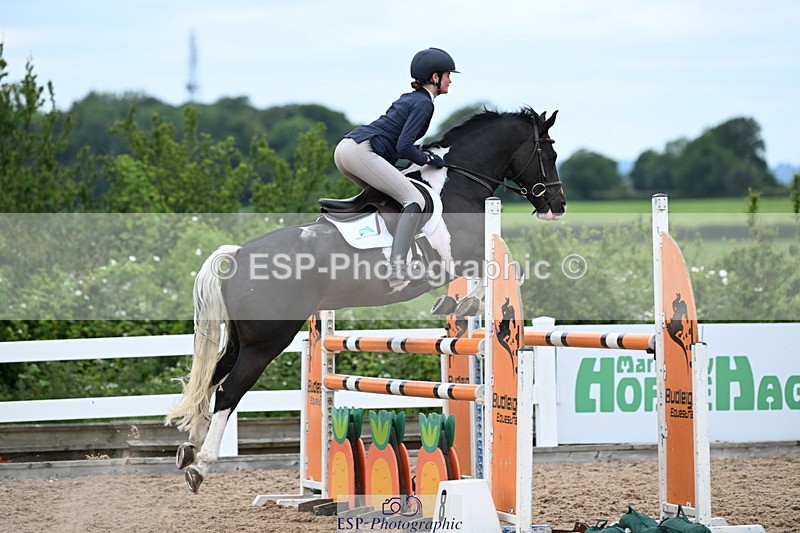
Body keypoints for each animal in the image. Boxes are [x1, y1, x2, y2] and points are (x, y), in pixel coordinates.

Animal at [165, 107, 567, 492]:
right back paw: (201, 465)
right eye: (549, 153)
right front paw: (464, 305)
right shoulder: (461, 254)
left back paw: (190, 447)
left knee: (211, 379)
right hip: (265, 342)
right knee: (228, 390)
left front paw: (455, 305)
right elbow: (499, 270)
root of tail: (238, 255)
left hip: (240, 339)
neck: (458, 184)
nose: (558, 204)